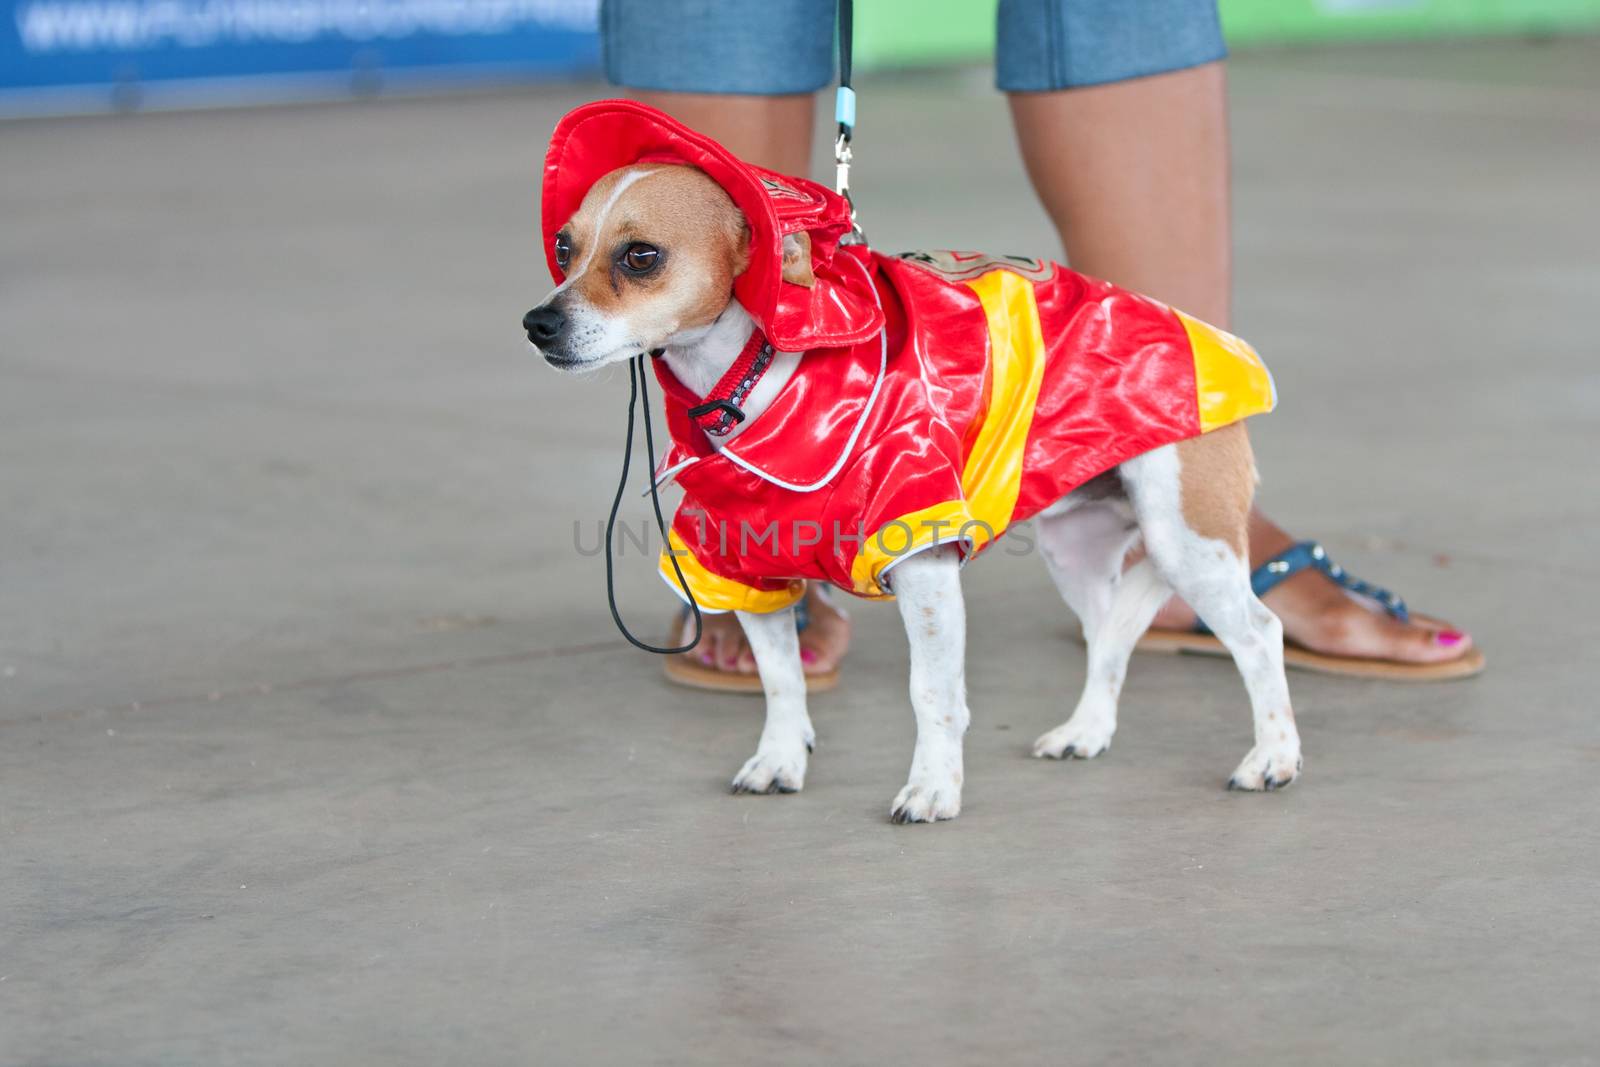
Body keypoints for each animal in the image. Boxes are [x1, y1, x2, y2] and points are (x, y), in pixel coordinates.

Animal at [524, 99, 1299, 825]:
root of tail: (1209, 337)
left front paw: (932, 788)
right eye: (564, 247)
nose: (539, 324)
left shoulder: (923, 570)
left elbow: (932, 694)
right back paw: (1085, 731)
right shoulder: (749, 573)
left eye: (641, 256)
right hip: (1079, 554)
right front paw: (780, 761)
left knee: (1258, 634)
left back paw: (1273, 758)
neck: (751, 380)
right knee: (1108, 637)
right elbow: (781, 682)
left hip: (1189, 545)